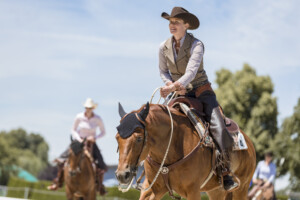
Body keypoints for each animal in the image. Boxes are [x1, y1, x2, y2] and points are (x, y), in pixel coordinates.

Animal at [115, 103, 255, 200]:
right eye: (117, 138)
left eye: (139, 138)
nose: (122, 174)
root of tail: (249, 143)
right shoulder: (153, 190)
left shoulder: (193, 191)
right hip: (216, 190)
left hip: (242, 188)